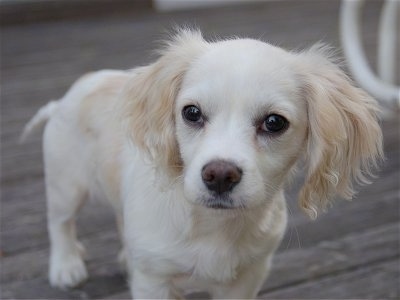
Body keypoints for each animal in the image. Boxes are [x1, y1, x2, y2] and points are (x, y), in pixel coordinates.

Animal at [22, 29, 384, 298]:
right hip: (66, 186)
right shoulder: (154, 283)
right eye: (192, 113)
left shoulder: (248, 277)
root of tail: (63, 99)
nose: (219, 175)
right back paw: (66, 266)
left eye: (274, 122)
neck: (214, 225)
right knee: (60, 223)